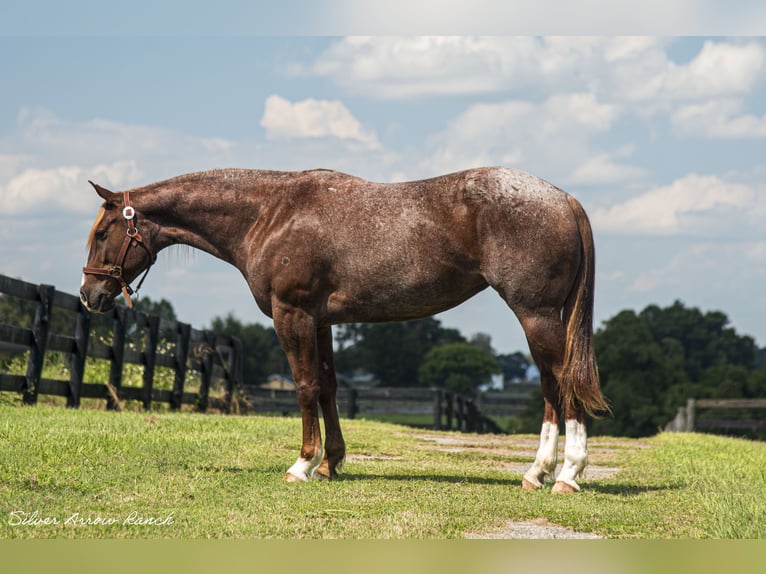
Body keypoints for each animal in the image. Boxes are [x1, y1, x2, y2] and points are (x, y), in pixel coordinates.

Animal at [81, 166, 612, 496]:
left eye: (103, 233)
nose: (89, 295)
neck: (270, 214)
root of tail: (563, 199)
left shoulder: (292, 315)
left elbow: (304, 386)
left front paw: (302, 465)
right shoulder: (321, 322)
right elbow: (329, 387)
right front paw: (331, 463)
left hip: (535, 315)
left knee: (563, 384)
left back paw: (567, 475)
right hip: (539, 319)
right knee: (551, 388)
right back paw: (536, 473)